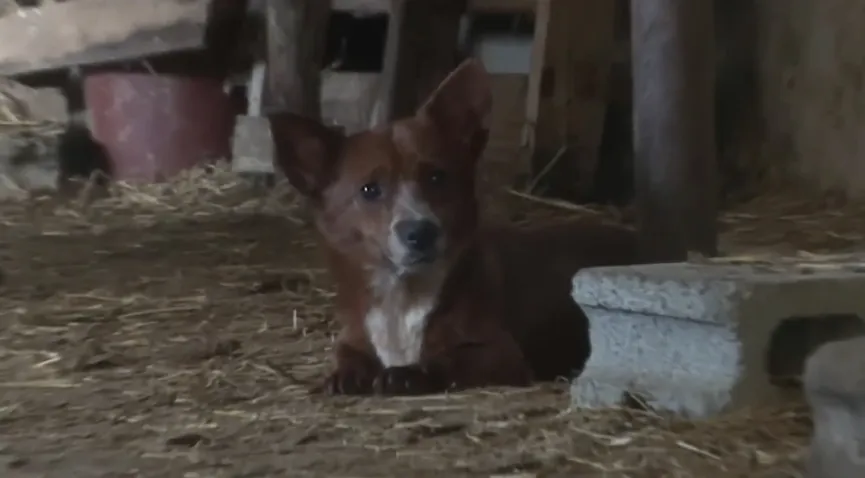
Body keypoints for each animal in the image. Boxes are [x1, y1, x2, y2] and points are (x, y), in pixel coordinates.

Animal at [268, 58, 640, 396]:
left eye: (437, 177)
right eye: (369, 190)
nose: (420, 233)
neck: (401, 296)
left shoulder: (501, 353)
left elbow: (446, 360)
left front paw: (407, 373)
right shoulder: (353, 338)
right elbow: (346, 356)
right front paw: (344, 374)